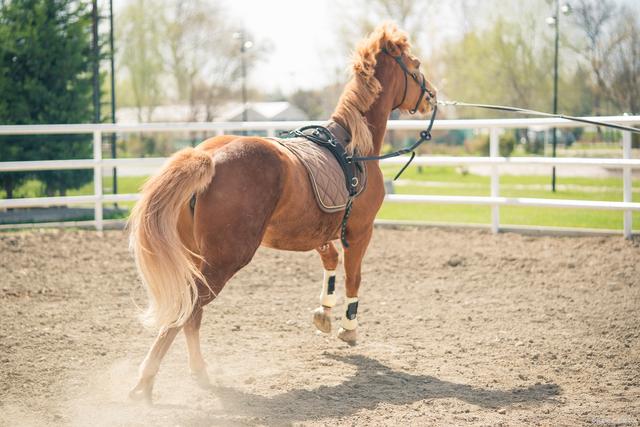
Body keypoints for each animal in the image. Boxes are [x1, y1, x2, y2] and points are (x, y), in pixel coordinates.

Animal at [127, 23, 438, 402]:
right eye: (415, 64)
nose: (432, 96)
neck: (355, 146)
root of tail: (209, 157)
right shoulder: (360, 231)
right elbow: (354, 277)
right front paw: (348, 328)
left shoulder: (318, 231)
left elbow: (330, 262)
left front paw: (324, 313)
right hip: (223, 261)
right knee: (190, 308)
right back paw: (146, 380)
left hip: (198, 257)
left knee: (192, 314)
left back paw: (197, 373)